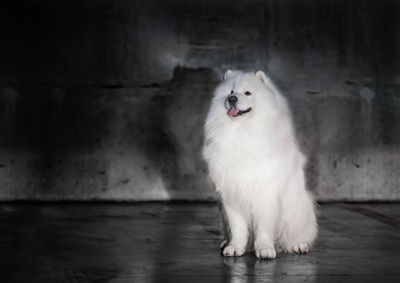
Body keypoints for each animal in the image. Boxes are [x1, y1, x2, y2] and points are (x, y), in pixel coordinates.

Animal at [203, 69, 318, 260]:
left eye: (248, 93)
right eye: (231, 92)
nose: (231, 99)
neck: (242, 132)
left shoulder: (265, 195)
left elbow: (263, 227)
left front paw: (264, 249)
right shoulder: (231, 196)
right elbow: (237, 228)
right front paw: (235, 247)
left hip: (298, 212)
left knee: (295, 235)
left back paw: (298, 245)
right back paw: (226, 242)